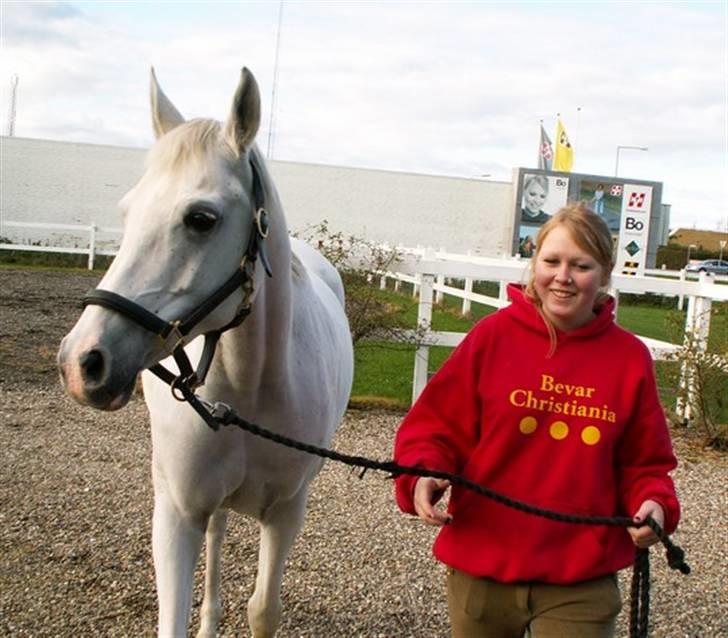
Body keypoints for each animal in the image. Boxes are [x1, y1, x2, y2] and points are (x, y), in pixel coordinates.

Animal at [58, 67, 354, 636]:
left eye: (200, 218)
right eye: (127, 212)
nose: (82, 361)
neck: (254, 385)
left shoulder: (287, 513)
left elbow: (263, 610)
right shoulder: (177, 513)